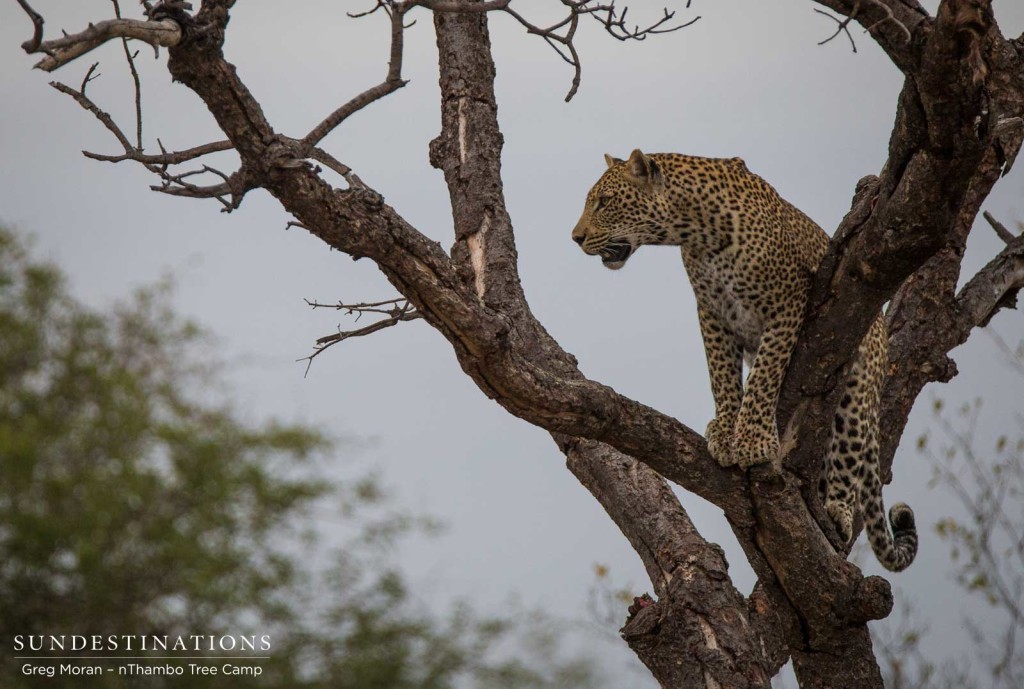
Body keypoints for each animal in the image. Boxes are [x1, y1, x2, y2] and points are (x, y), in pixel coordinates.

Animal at [573, 149, 917, 569]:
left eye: (605, 202)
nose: (576, 238)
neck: (697, 231)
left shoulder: (787, 302)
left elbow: (765, 374)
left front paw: (752, 438)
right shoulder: (713, 313)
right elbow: (721, 375)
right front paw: (725, 429)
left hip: (858, 390)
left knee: (848, 452)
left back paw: (836, 510)